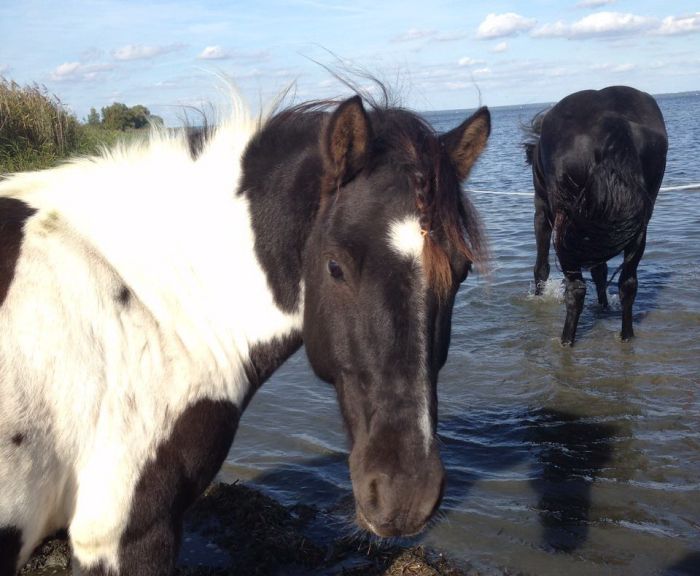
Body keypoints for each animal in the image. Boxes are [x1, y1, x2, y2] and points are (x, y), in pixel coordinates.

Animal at [524, 85, 668, 346]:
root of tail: (612, 121)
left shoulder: (542, 213)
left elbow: (541, 267)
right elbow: (600, 271)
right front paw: (603, 305)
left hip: (565, 224)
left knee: (576, 289)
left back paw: (566, 341)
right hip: (637, 225)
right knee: (628, 284)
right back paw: (626, 336)